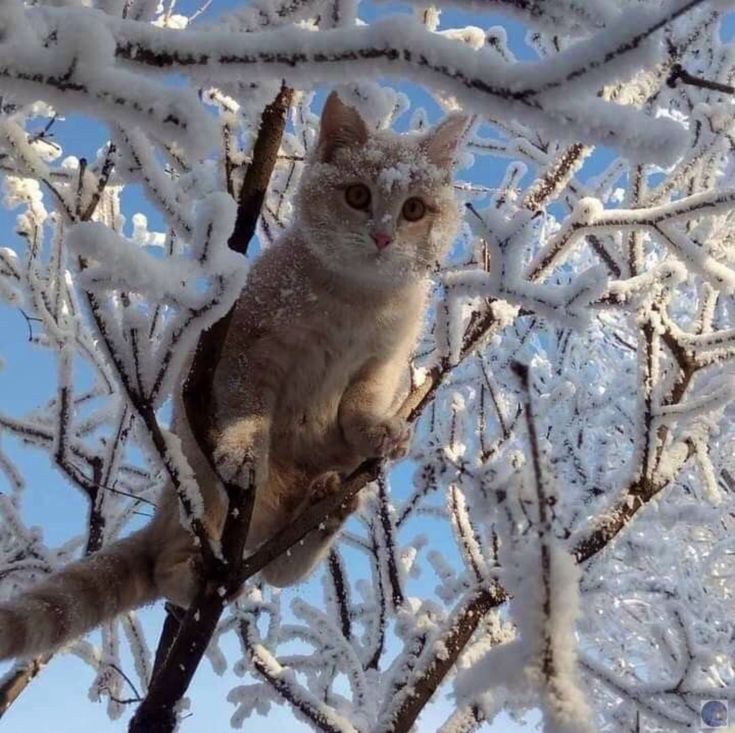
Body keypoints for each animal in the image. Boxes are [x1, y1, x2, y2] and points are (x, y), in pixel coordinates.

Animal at [0, 90, 468, 656]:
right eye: (358, 195)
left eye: (414, 209)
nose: (381, 235)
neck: (354, 303)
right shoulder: (243, 349)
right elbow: (247, 409)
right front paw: (245, 453)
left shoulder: (384, 363)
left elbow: (361, 403)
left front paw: (377, 430)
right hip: (200, 494)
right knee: (167, 568)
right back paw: (200, 573)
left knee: (282, 571)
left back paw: (327, 506)